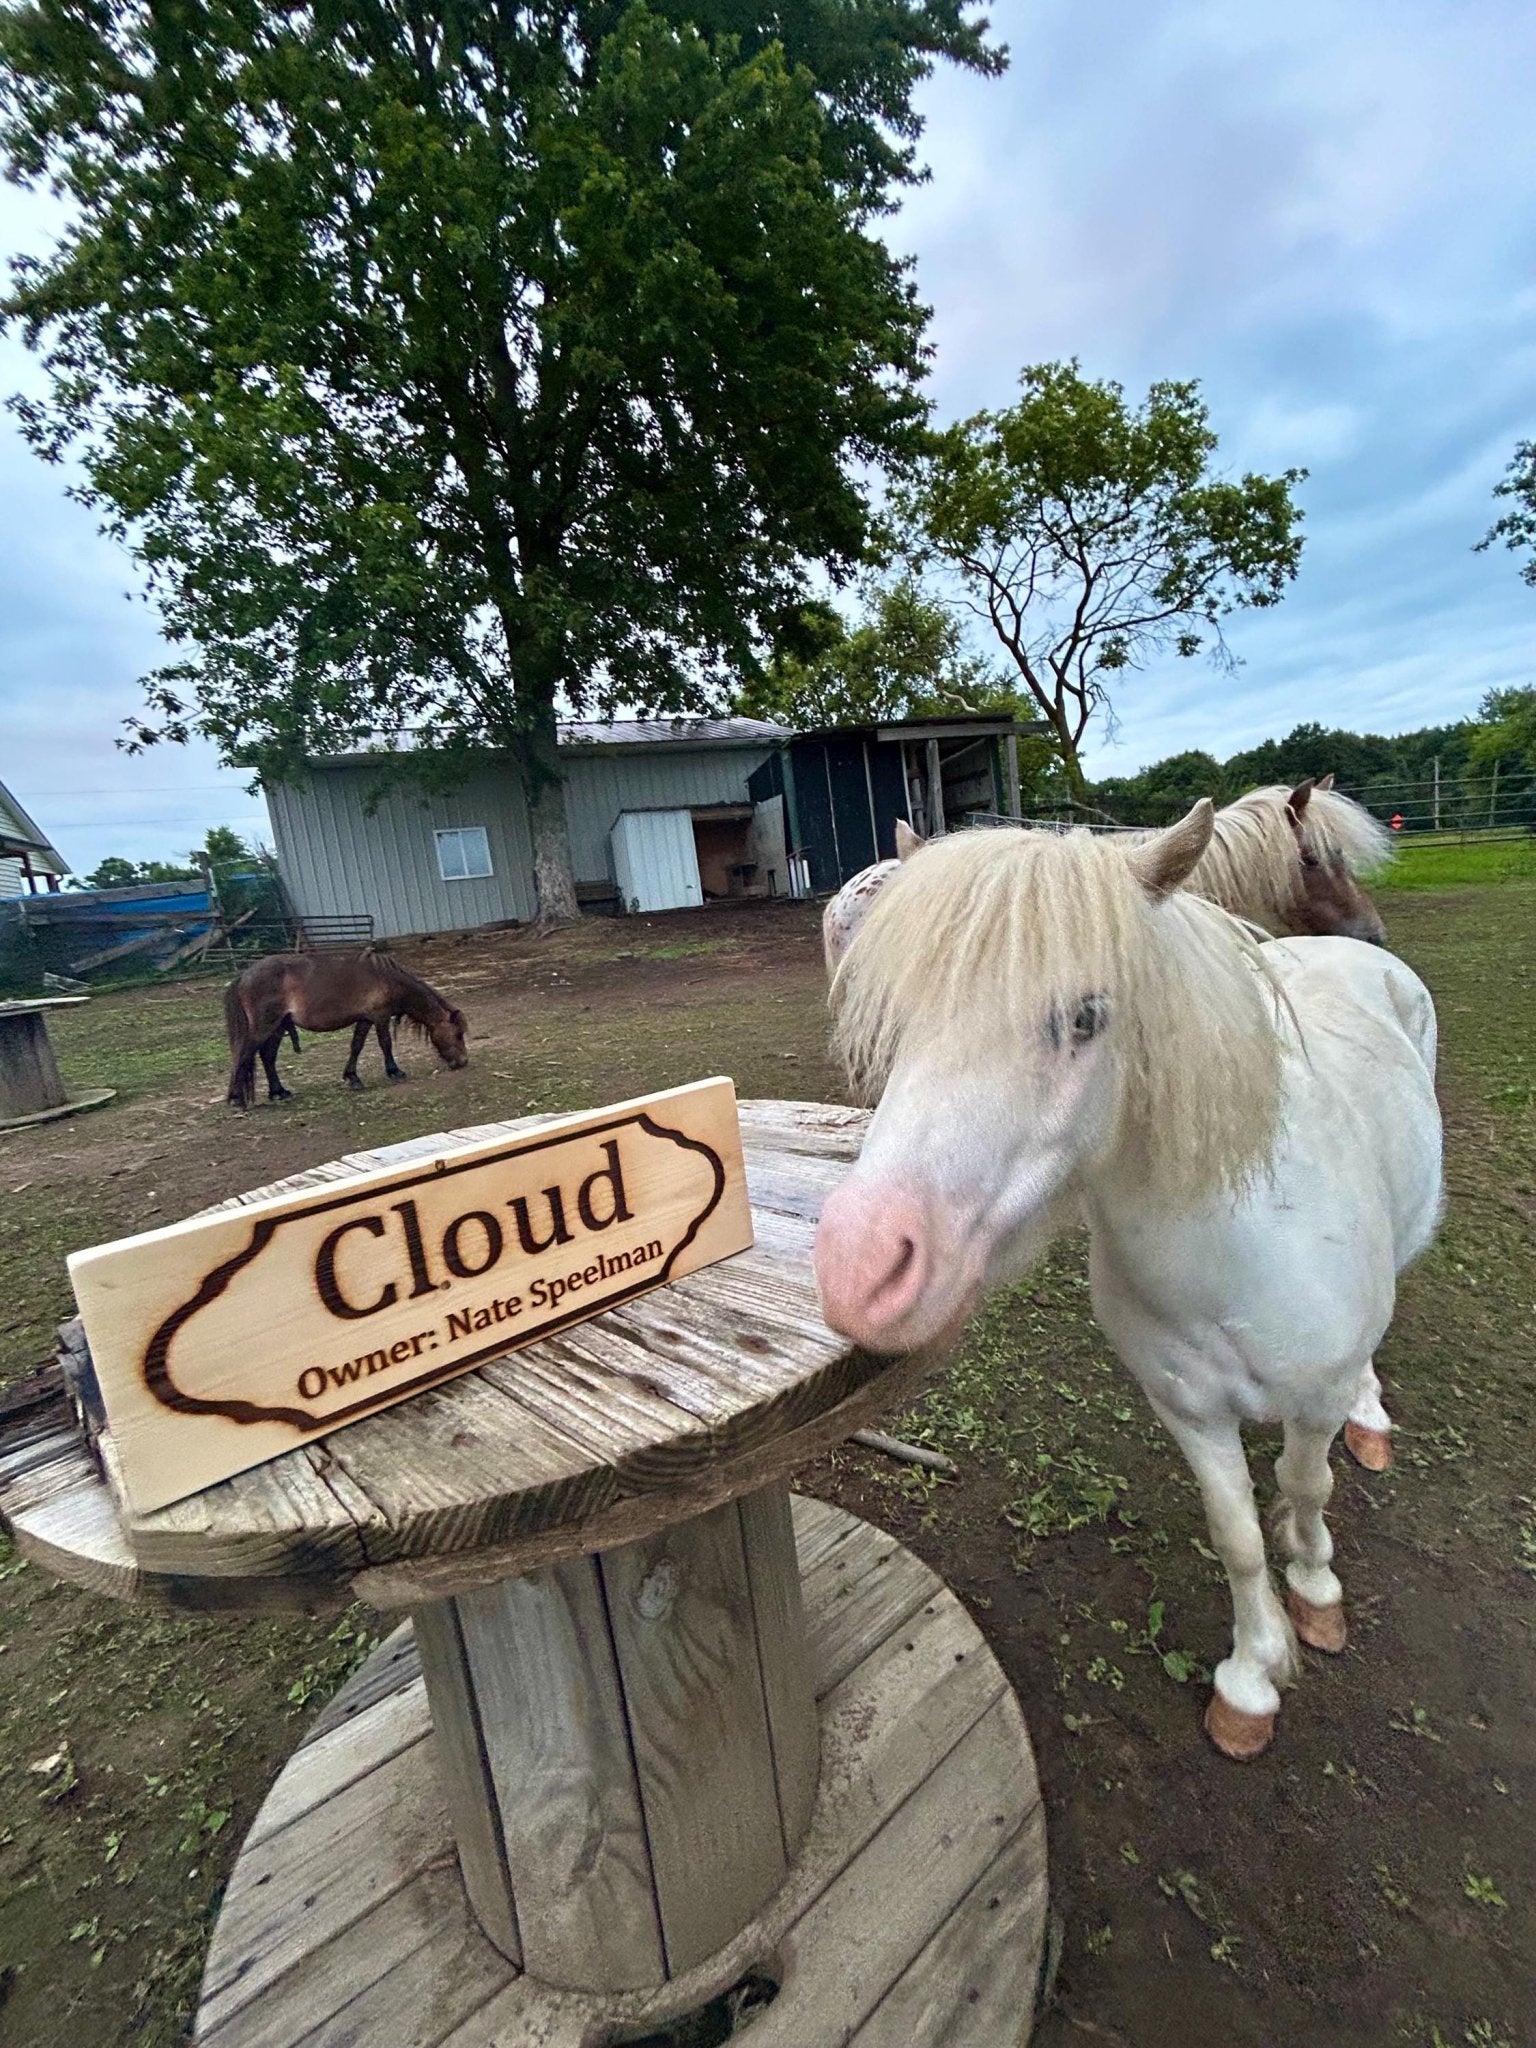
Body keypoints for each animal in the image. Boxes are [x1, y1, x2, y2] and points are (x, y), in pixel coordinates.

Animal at [224, 952, 468, 1108]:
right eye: (458, 1034)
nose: (463, 1062)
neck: (386, 978)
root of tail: (243, 976)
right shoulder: (380, 1018)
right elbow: (385, 1044)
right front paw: (394, 1071)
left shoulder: (365, 1020)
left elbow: (356, 1046)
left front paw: (352, 1078)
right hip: (265, 1026)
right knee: (245, 1054)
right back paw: (236, 1098)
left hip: (278, 1026)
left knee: (267, 1057)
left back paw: (278, 1092)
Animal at [813, 804, 1442, 1759]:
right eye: (902, 1020)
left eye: (1086, 1016)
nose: (857, 1265)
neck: (1231, 1254)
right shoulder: (1188, 1409)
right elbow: (1237, 1535)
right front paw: (1252, 1678)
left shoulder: (1312, 1400)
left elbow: (1307, 1489)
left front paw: (1316, 1595)